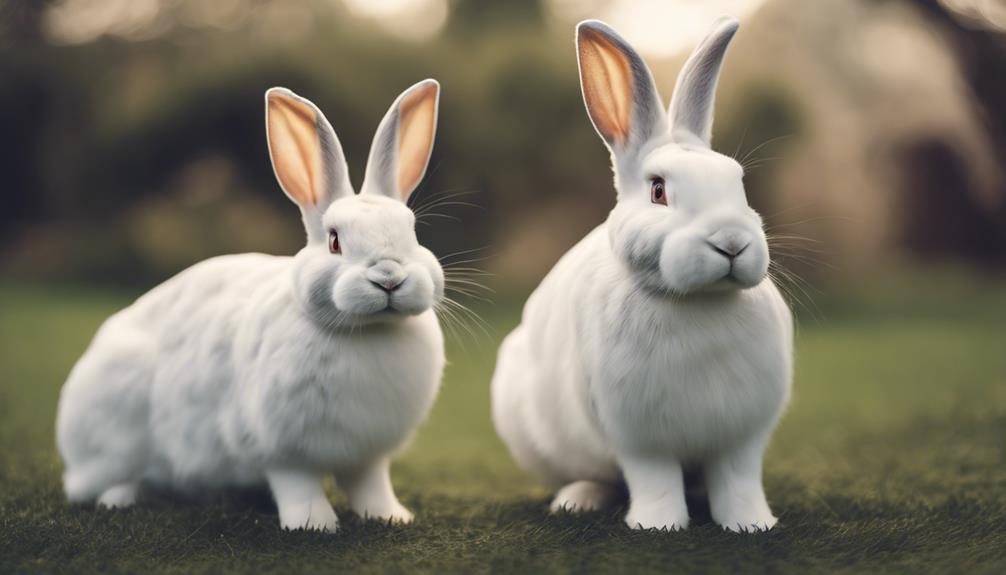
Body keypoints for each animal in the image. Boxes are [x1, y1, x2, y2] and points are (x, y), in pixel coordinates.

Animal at [56, 79, 446, 533]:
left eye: (412, 233)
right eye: (334, 240)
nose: (388, 277)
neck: (367, 331)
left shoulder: (368, 455)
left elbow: (371, 486)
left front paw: (392, 517)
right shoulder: (279, 448)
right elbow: (299, 486)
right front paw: (314, 525)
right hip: (113, 431)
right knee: (106, 481)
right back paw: (120, 499)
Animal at [491, 17, 793, 533]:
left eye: (738, 183)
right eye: (658, 191)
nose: (731, 242)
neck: (698, 301)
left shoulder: (741, 437)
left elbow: (738, 483)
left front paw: (752, 525)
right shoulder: (638, 436)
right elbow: (655, 481)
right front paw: (658, 527)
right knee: (597, 478)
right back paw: (577, 501)